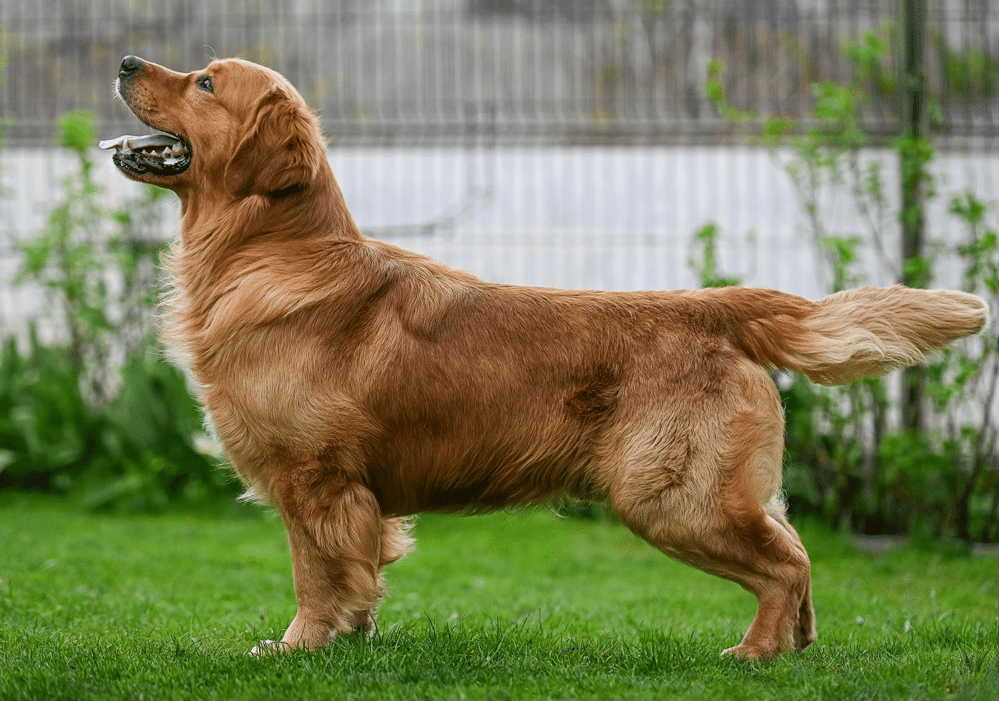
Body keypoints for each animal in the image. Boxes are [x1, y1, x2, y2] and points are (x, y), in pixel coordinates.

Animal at [97, 56, 988, 660]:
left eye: (206, 83)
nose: (127, 61)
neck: (269, 252)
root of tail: (714, 305)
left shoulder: (315, 478)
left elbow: (315, 576)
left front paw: (300, 647)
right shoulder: (352, 494)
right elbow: (358, 577)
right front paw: (352, 639)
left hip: (671, 496)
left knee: (782, 565)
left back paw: (756, 653)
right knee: (796, 549)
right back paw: (794, 646)